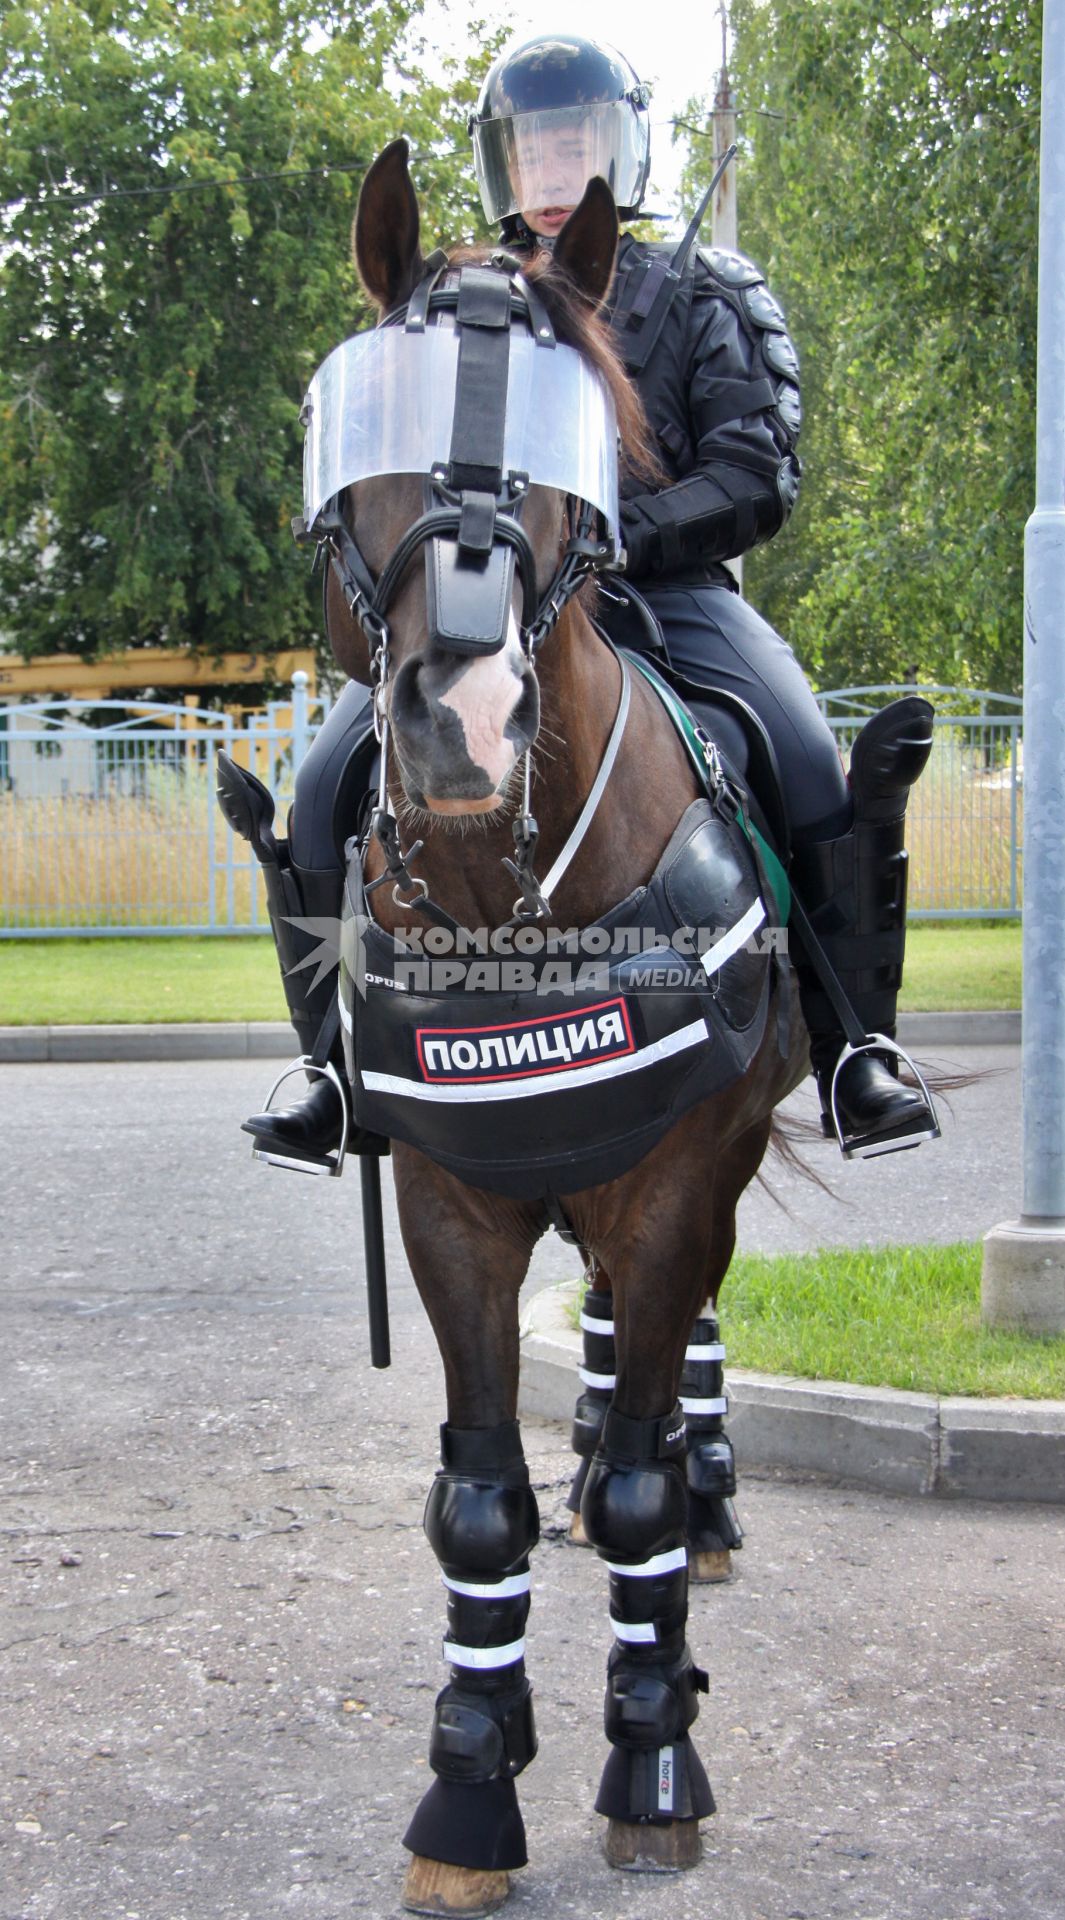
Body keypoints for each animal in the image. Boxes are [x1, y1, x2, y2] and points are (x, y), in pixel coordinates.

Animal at [324, 142, 809, 1912]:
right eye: (373, 424)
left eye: (567, 427)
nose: (462, 725)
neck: (508, 893)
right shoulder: (451, 1199)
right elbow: (478, 1503)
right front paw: (471, 1788)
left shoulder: (675, 1186)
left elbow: (647, 1478)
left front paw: (649, 1759)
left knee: (671, 1385)